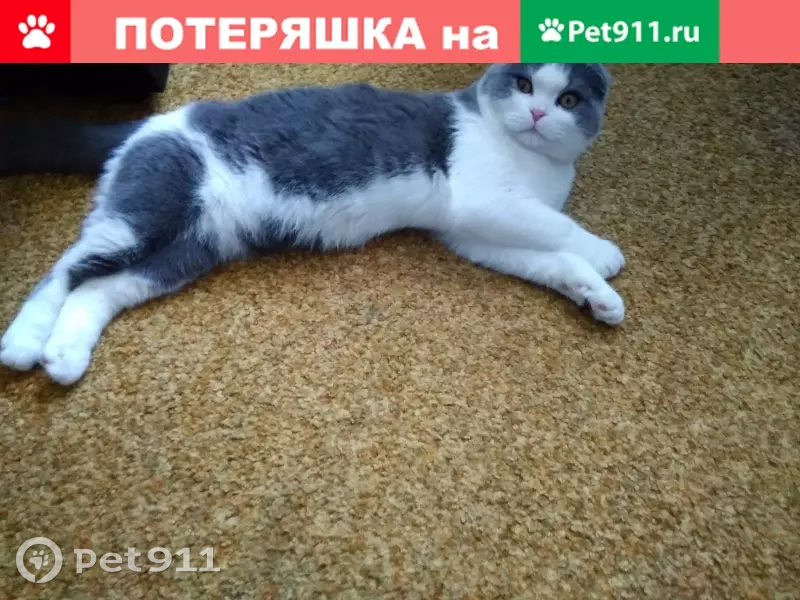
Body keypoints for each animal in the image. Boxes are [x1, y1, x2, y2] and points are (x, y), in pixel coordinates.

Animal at [0, 62, 626, 386]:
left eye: (570, 99)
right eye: (523, 85)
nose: (539, 113)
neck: (536, 164)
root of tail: (147, 123)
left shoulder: (472, 236)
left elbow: (546, 256)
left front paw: (593, 293)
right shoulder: (482, 201)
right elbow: (556, 227)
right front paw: (603, 254)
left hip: (186, 249)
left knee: (98, 289)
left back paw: (64, 357)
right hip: (147, 213)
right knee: (63, 271)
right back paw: (24, 343)